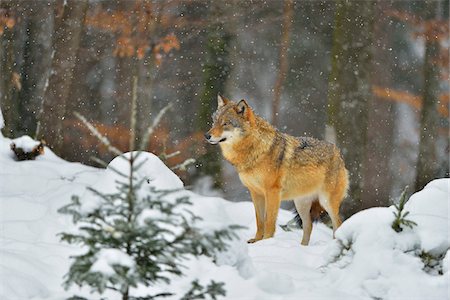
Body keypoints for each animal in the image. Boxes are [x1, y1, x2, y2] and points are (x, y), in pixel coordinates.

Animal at [204, 95, 348, 245]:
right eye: (214, 122)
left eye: (226, 123)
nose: (206, 135)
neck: (254, 150)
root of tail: (338, 153)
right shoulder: (255, 193)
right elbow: (259, 221)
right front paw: (257, 240)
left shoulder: (272, 192)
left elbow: (269, 221)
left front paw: (266, 242)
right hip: (301, 205)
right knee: (308, 226)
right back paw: (302, 247)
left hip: (326, 202)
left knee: (338, 224)